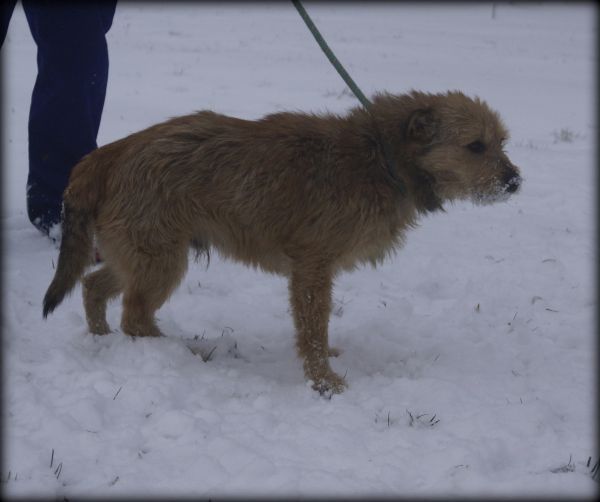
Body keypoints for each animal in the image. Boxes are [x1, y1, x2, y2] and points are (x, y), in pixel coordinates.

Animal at [42, 91, 520, 396]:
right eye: (475, 146)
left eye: (500, 142)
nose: (515, 182)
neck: (379, 158)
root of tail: (109, 153)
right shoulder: (312, 267)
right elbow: (312, 326)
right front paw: (324, 381)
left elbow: (316, 327)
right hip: (161, 259)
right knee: (136, 317)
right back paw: (177, 353)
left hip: (142, 254)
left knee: (94, 286)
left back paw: (103, 339)